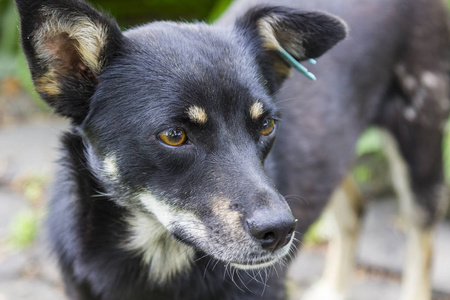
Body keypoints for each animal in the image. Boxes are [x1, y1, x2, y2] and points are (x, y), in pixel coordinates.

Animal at [15, 0, 448, 300]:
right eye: (174, 135)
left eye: (266, 125)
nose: (281, 231)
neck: (160, 257)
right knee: (355, 208)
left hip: (419, 139)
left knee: (422, 240)